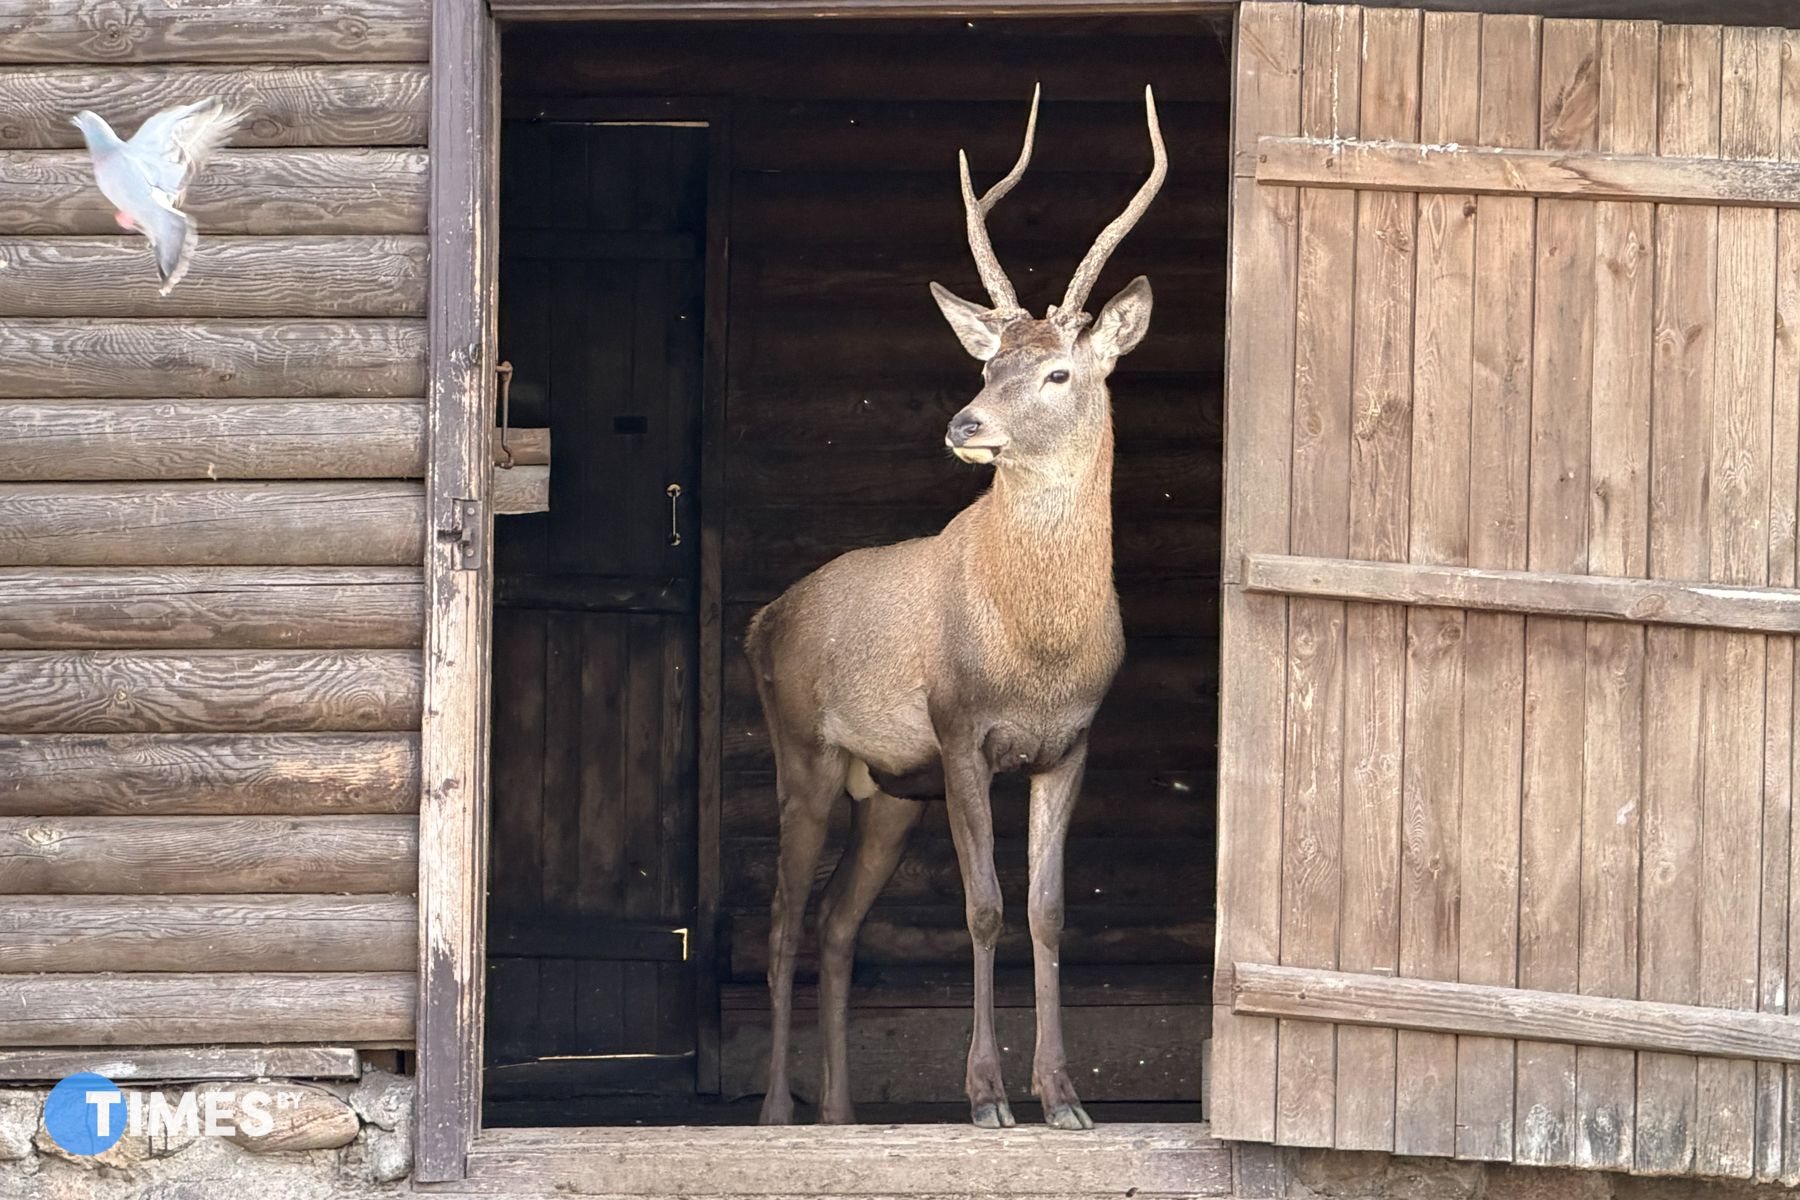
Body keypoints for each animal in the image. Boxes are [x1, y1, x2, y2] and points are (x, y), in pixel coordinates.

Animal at [744, 86, 1165, 1132]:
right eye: (986, 365)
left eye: (1059, 372)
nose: (964, 424)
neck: (1037, 647)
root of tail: (760, 619)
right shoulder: (960, 724)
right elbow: (982, 906)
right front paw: (985, 1098)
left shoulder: (1070, 744)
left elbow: (1048, 913)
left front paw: (1064, 1098)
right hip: (803, 752)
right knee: (778, 922)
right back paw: (774, 1113)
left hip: (890, 793)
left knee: (836, 924)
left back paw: (840, 1113)